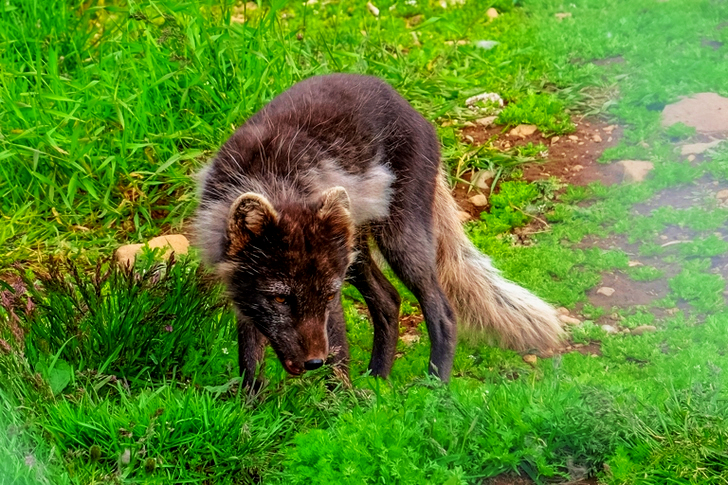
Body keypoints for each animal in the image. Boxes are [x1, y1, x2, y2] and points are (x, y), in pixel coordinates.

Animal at [194, 73, 563, 388]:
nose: (313, 363)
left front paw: (340, 409)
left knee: (442, 310)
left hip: (399, 240)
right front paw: (250, 410)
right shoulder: (244, 293)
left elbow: (339, 354)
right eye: (281, 299)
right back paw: (378, 381)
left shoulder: (333, 300)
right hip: (355, 252)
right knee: (389, 300)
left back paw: (434, 388)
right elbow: (249, 361)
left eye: (328, 295)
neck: (276, 180)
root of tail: (409, 106)